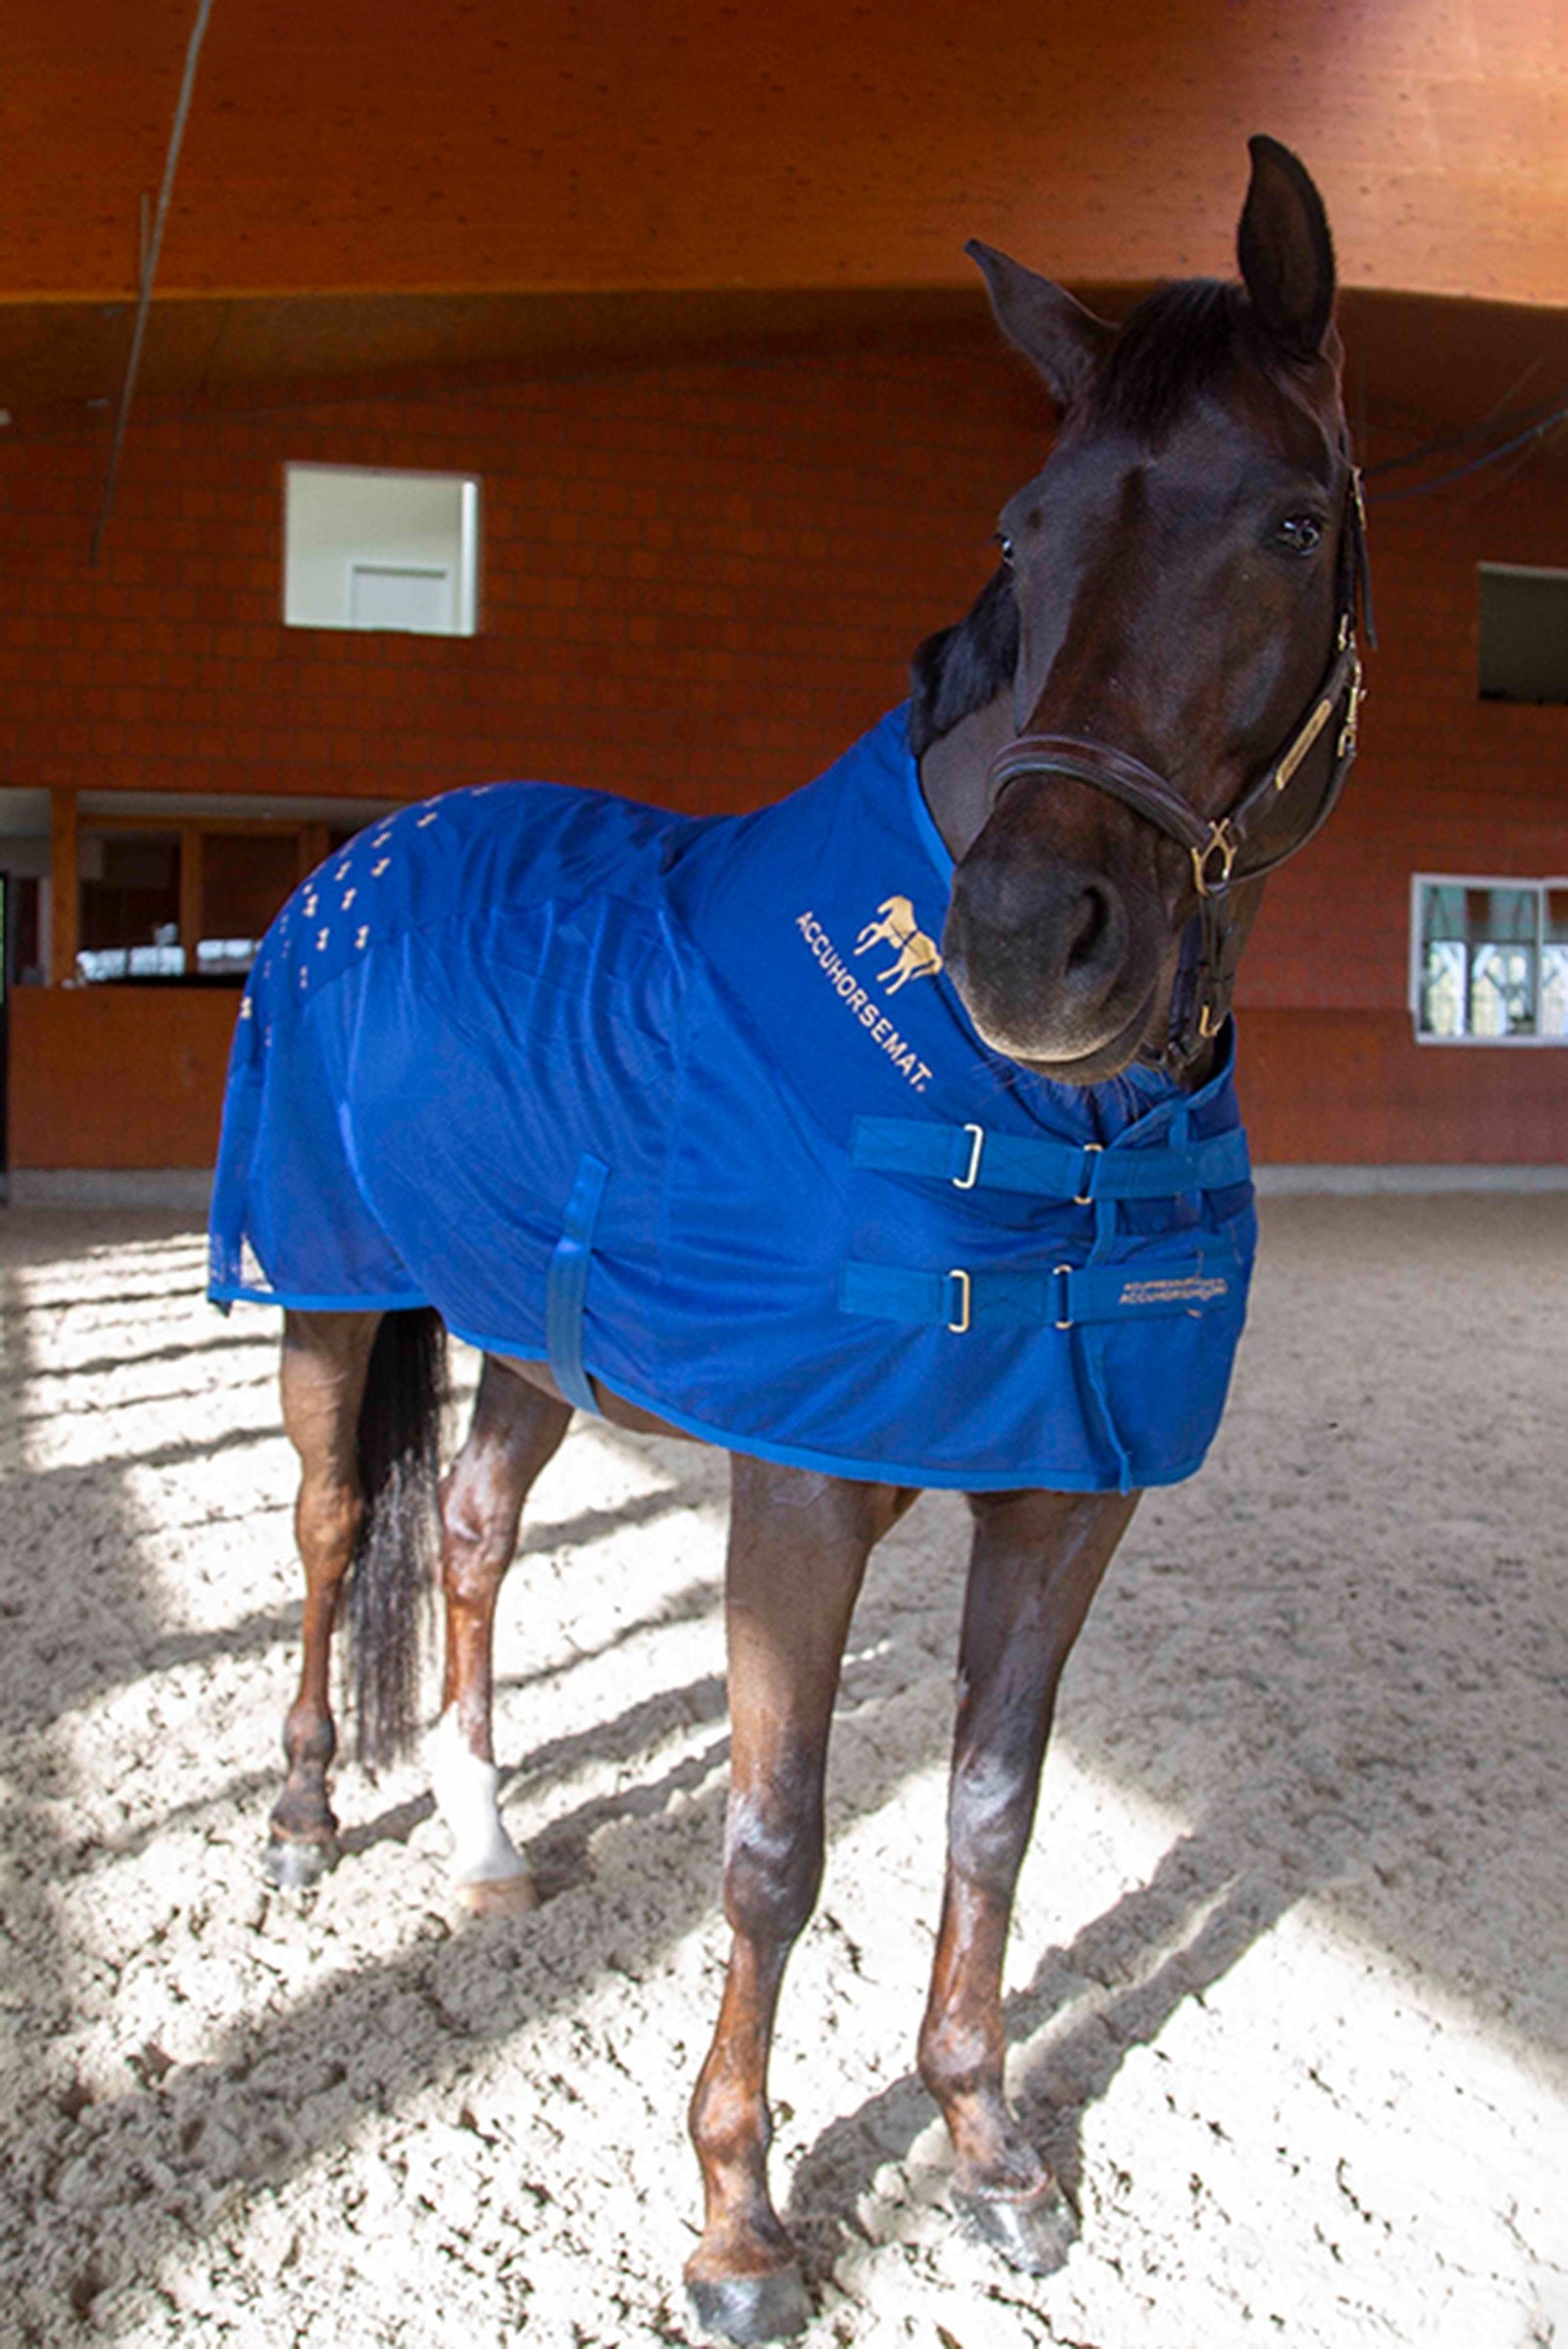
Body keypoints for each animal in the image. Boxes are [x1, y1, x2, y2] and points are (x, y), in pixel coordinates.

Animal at [208, 135, 1367, 2345]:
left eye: (1287, 517)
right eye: (1024, 526)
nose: (1026, 939)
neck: (1056, 1131)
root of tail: (354, 861)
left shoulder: (1067, 1496)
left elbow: (991, 1813)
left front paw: (989, 2151)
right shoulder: (802, 1491)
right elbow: (772, 1841)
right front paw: (740, 2223)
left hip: (535, 1342)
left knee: (468, 1535)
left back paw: (485, 1839)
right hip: (323, 1288)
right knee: (328, 1534)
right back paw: (308, 1814)